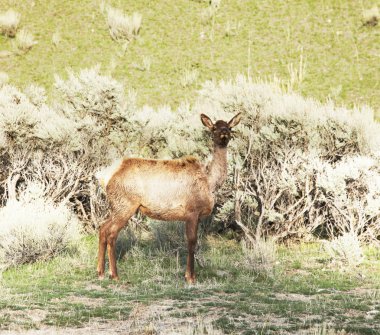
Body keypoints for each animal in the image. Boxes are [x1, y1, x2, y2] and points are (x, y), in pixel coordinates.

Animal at [97, 113, 240, 284]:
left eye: (229, 127)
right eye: (214, 128)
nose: (224, 132)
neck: (210, 183)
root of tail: (105, 177)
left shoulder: (197, 215)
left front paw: (189, 275)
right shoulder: (192, 211)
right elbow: (191, 241)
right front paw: (190, 277)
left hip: (117, 206)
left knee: (102, 228)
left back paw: (100, 272)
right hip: (125, 204)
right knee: (112, 233)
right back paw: (114, 274)